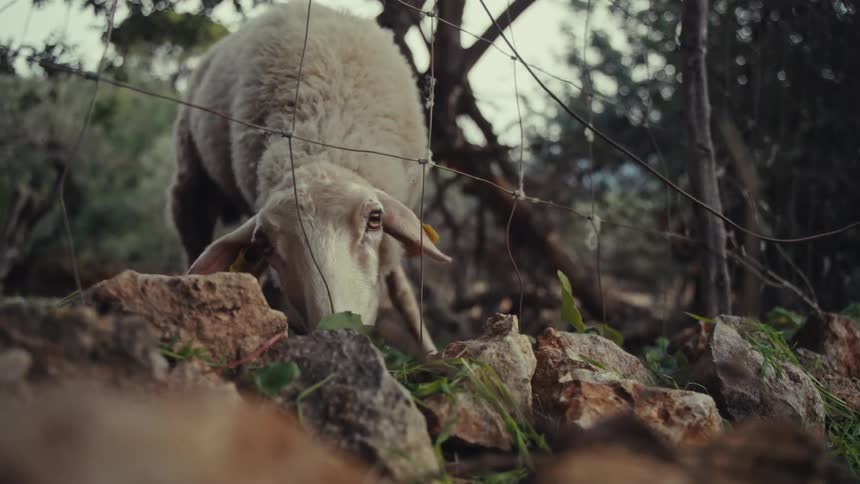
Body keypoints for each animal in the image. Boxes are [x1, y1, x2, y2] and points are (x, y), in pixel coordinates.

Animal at [168, 2, 450, 354]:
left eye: (375, 219)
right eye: (264, 243)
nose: (339, 329)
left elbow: (402, 292)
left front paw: (430, 350)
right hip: (191, 178)